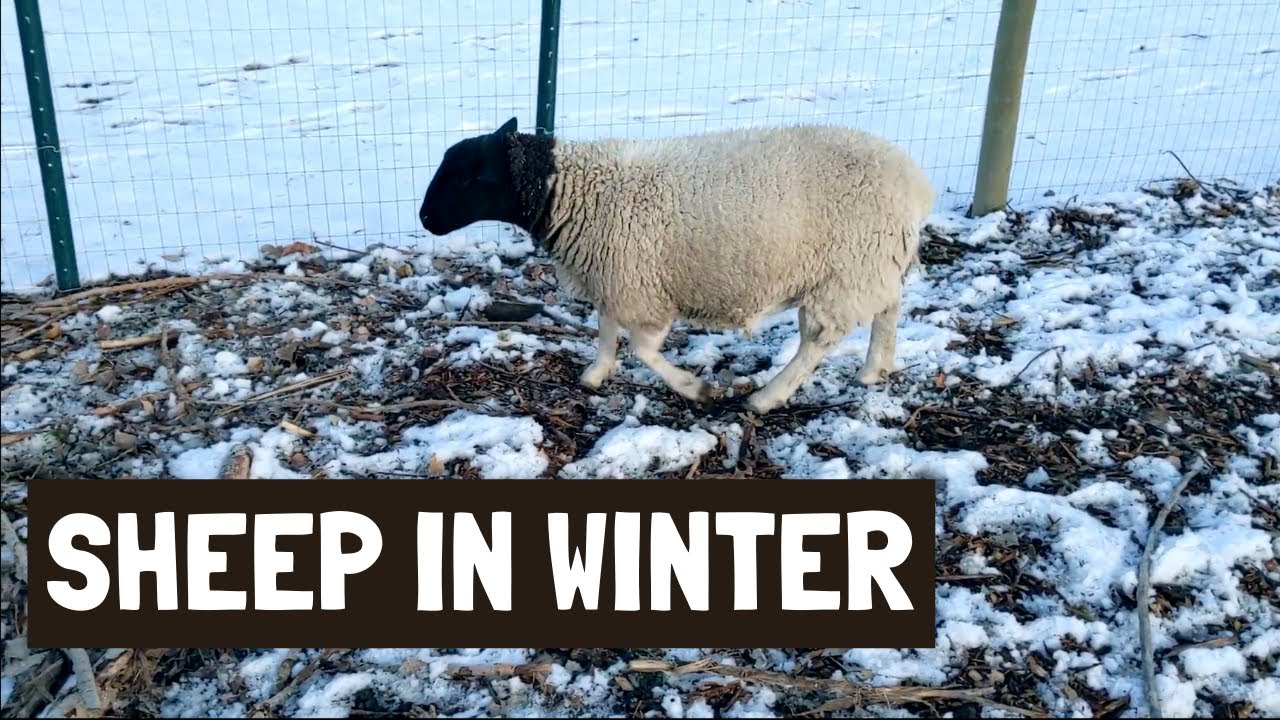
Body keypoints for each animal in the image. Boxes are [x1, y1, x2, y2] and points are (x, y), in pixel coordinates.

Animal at [418, 116, 934, 414]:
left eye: (467, 178)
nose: (424, 219)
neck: (576, 192)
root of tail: (915, 182)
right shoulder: (614, 276)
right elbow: (606, 329)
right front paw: (595, 374)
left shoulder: (641, 287)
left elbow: (644, 349)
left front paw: (695, 389)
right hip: (874, 262)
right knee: (889, 307)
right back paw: (874, 369)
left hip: (847, 268)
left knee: (819, 340)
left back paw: (767, 397)